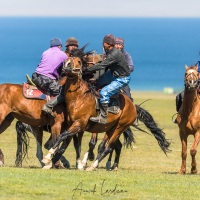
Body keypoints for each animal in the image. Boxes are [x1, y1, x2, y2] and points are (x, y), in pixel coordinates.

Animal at [42, 55, 170, 171]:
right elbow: (68, 143)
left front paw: (48, 158)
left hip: (119, 128)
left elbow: (62, 137)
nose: (67, 65)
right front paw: (57, 161)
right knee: (108, 146)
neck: (79, 98)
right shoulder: (73, 126)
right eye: (67, 59)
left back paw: (95, 166)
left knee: (108, 147)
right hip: (110, 128)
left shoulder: (79, 124)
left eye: (78, 61)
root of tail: (133, 106)